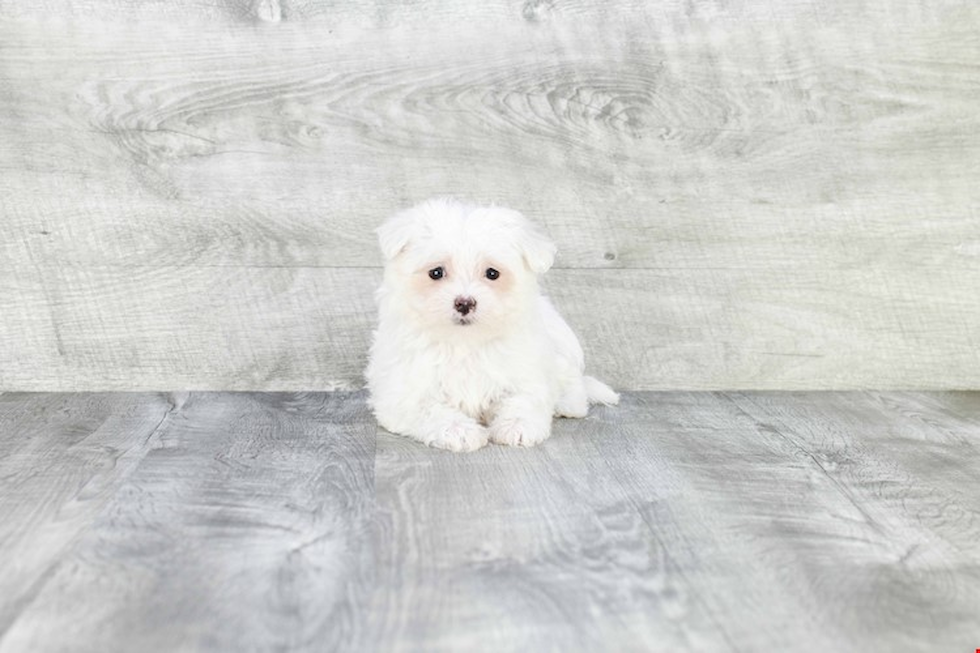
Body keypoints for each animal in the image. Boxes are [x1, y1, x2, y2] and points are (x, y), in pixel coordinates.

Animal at [368, 199, 620, 450]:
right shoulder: (404, 392)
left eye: (492, 273)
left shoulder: (524, 371)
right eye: (436, 272)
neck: (464, 342)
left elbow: (523, 400)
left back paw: (568, 404)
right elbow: (430, 410)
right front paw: (460, 431)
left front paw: (517, 426)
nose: (464, 303)